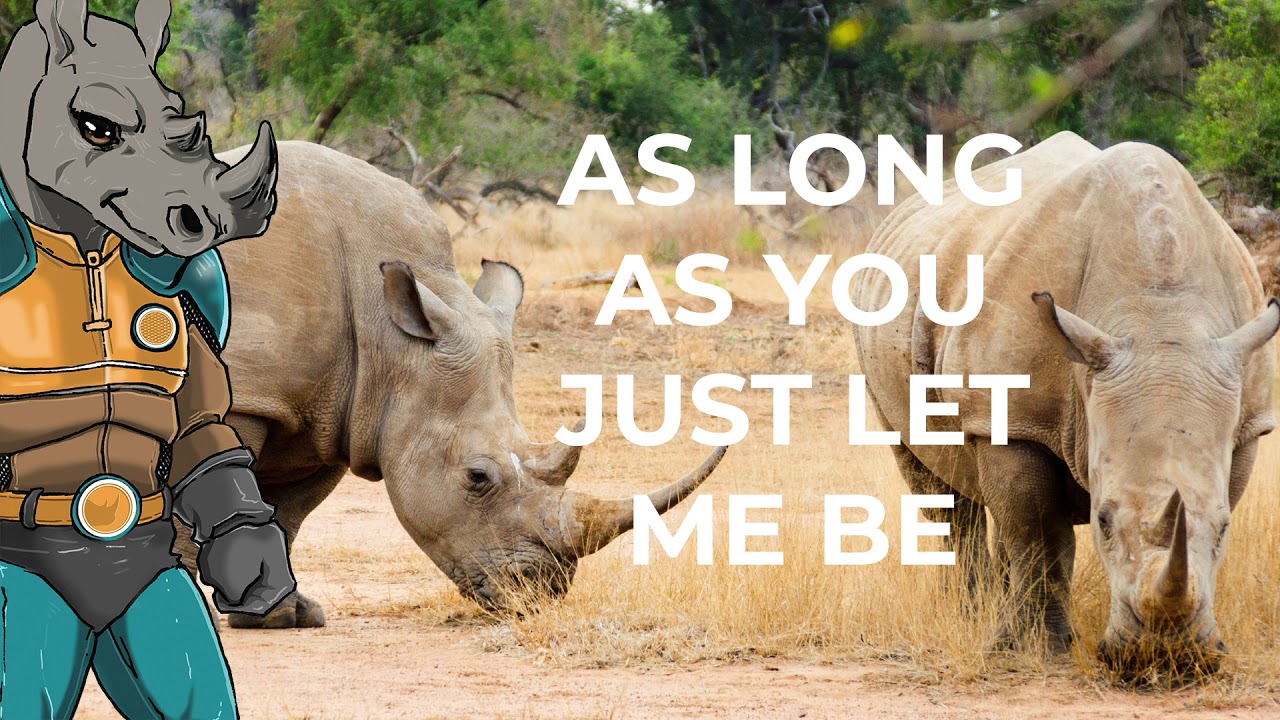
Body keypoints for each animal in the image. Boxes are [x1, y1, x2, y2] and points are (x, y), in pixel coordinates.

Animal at [180, 141, 725, 628]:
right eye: (477, 477)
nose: (540, 592)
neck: (392, 341)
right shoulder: (250, 396)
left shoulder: (336, 412)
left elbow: (289, 510)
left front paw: (283, 615)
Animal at [855, 131, 1276, 673]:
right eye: (1103, 520)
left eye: (1226, 528)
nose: (1165, 658)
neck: (1161, 314)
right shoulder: (1012, 417)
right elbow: (1040, 535)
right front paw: (1045, 649)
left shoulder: (1246, 423)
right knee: (943, 492)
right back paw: (972, 617)